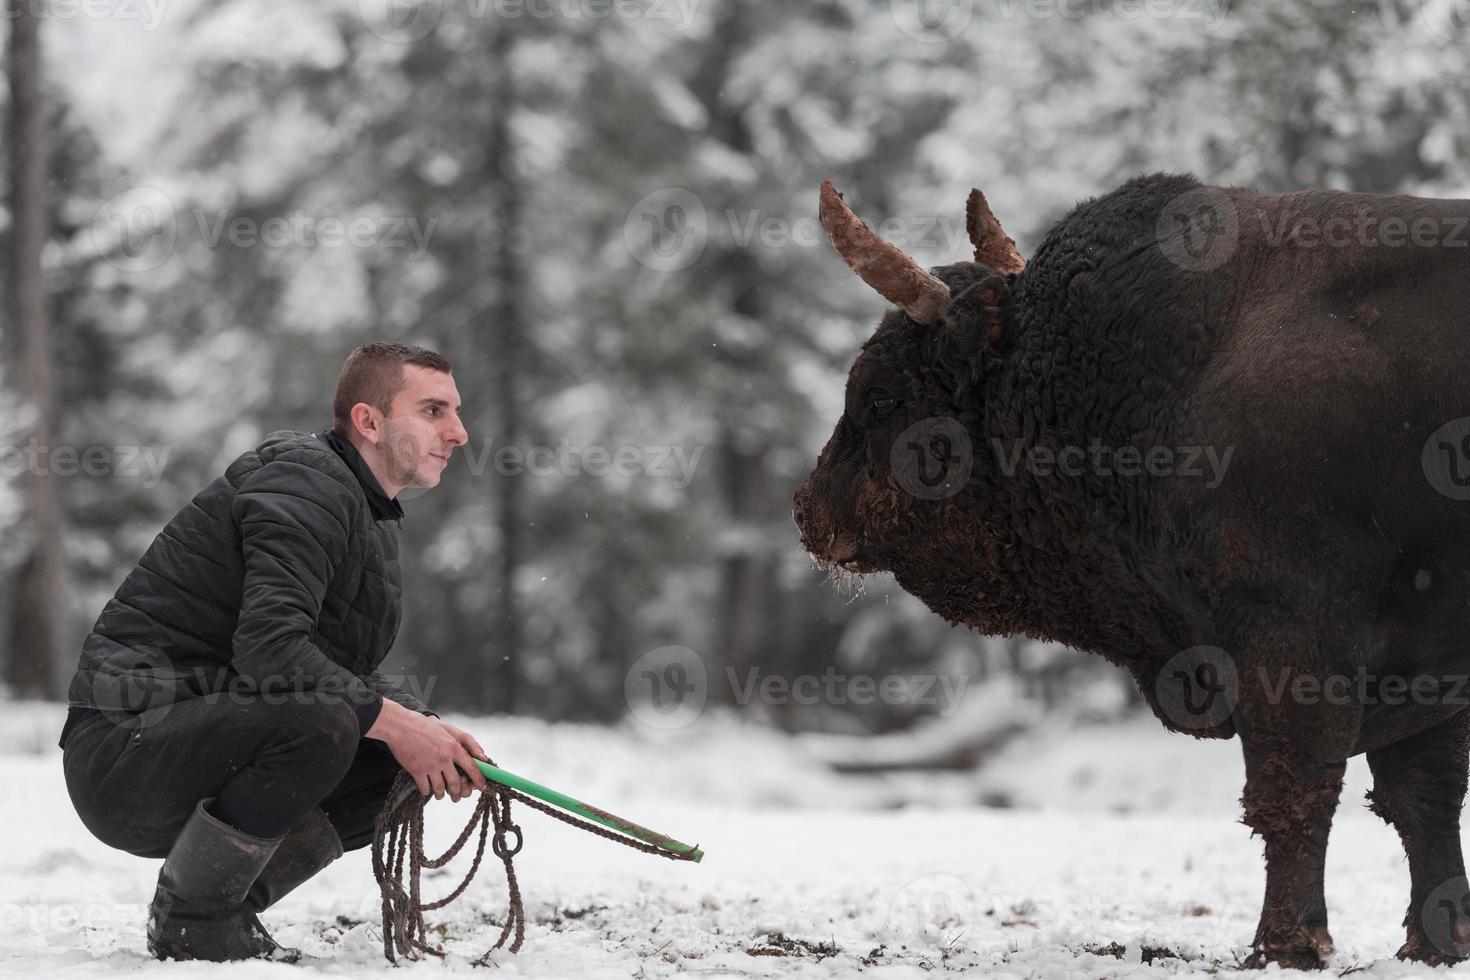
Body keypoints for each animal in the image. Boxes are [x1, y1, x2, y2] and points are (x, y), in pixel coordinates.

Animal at [793, 174, 1470, 963]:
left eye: (879, 395)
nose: (807, 508)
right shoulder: (1416, 659)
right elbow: (1422, 798)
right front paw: (1437, 942)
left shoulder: (1292, 638)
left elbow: (1293, 790)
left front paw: (1284, 945)